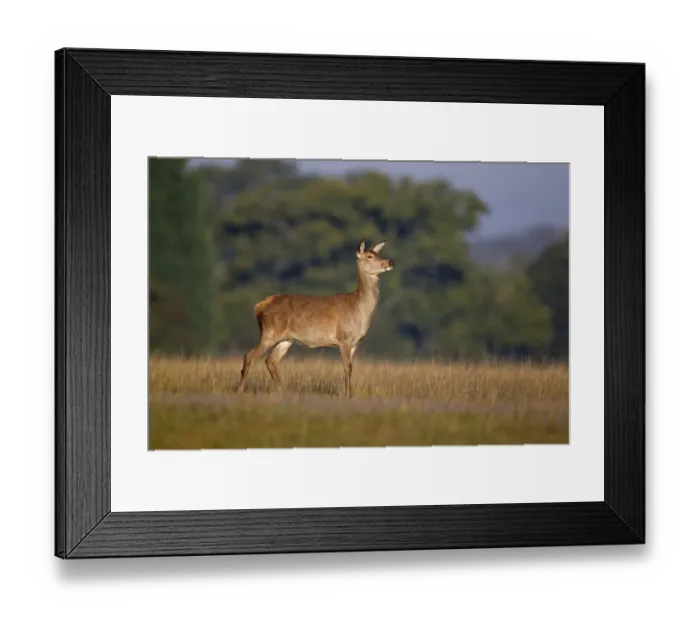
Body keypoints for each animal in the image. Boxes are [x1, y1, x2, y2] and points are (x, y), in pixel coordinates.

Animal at [237, 240, 394, 398]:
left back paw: (283, 390)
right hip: (270, 333)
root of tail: (259, 307)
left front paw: (349, 394)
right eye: (369, 256)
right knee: (249, 355)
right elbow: (347, 367)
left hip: (285, 339)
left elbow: (350, 368)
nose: (390, 261)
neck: (358, 308)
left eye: (378, 253)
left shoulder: (355, 342)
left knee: (270, 361)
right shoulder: (344, 338)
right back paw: (241, 389)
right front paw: (347, 395)